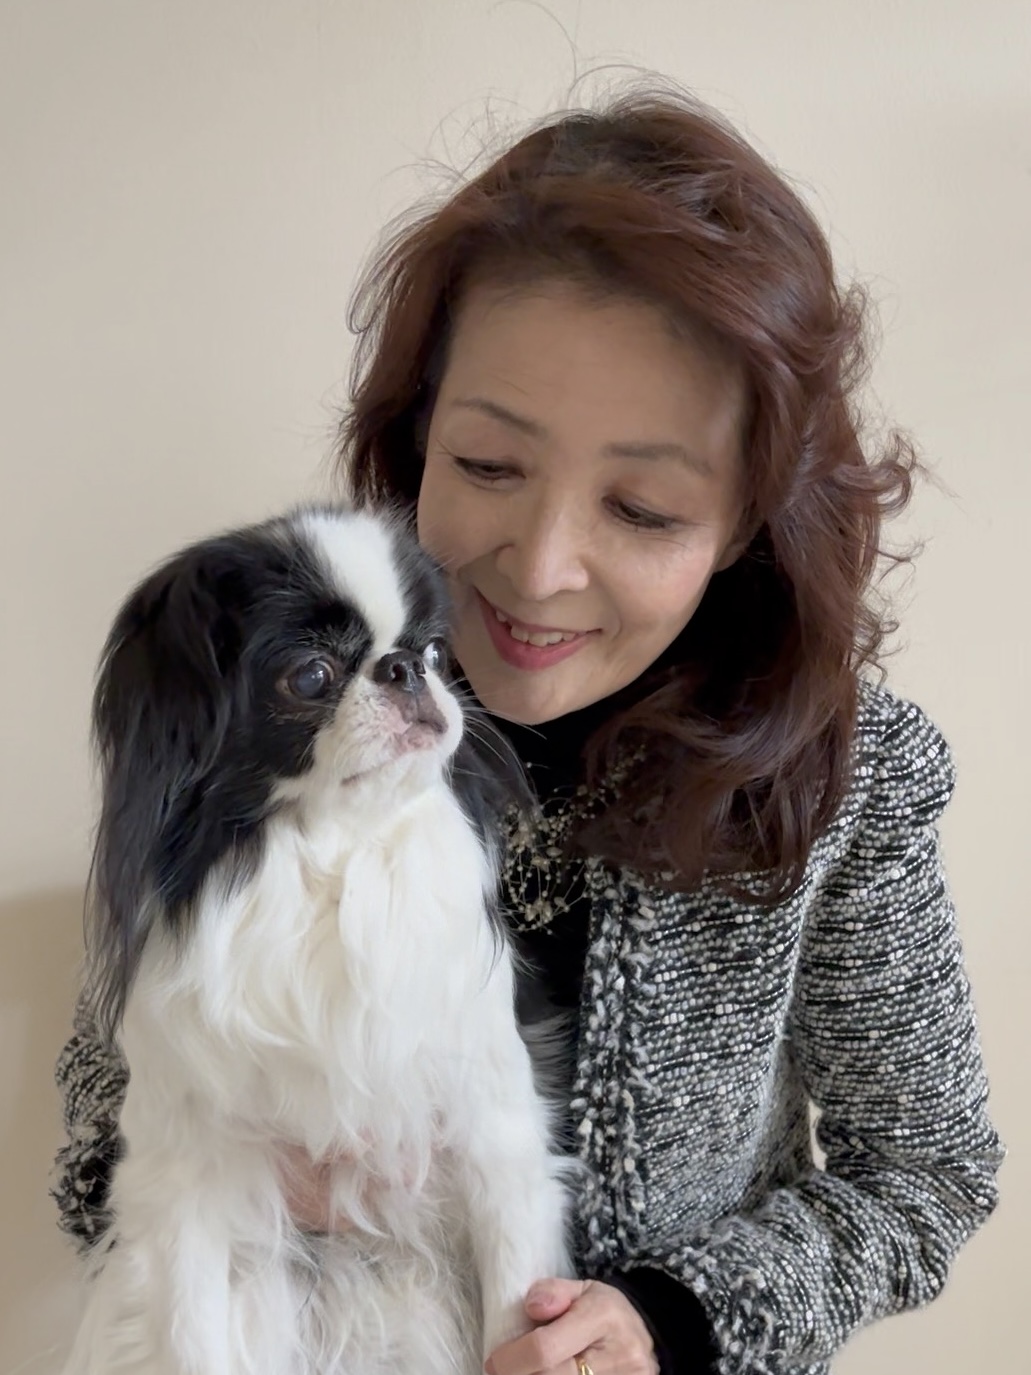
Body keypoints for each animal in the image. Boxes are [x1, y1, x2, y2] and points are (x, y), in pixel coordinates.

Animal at [61, 504, 573, 1375]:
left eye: (434, 651)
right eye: (310, 676)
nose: (404, 669)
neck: (333, 859)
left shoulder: (495, 1136)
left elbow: (516, 1314)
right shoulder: (184, 1181)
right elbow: (189, 1338)